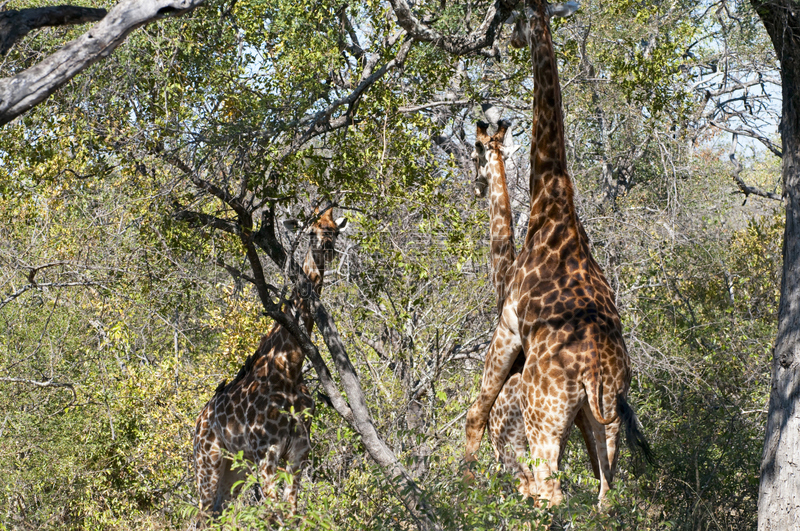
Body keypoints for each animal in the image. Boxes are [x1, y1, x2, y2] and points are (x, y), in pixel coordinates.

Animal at [194, 205, 346, 516]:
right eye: (310, 231)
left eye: (335, 231)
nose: (327, 246)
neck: (289, 368)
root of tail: (196, 424)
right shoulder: (267, 453)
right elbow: (276, 515)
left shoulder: (299, 451)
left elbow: (292, 513)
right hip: (208, 460)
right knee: (201, 514)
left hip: (234, 470)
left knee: (217, 511)